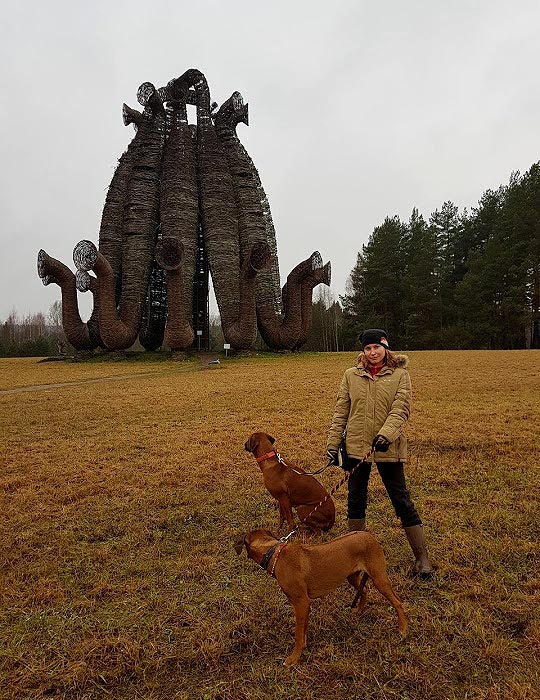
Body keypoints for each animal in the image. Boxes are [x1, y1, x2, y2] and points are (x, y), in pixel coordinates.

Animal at [234, 528, 408, 664]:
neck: (274, 553)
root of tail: (369, 536)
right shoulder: (303, 605)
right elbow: (303, 628)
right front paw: (303, 645)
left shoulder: (302, 602)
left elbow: (298, 634)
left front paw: (294, 658)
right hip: (351, 576)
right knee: (364, 590)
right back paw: (359, 610)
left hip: (379, 578)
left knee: (398, 602)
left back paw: (403, 629)